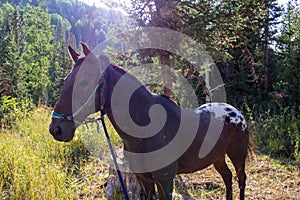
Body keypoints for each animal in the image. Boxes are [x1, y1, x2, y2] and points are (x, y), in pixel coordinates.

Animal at [49, 43, 250, 199]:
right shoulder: (144, 179)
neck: (146, 130)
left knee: (241, 179)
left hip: (238, 155)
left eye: (84, 82)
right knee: (227, 177)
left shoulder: (165, 180)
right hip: (218, 157)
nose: (56, 129)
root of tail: (236, 112)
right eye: (66, 79)